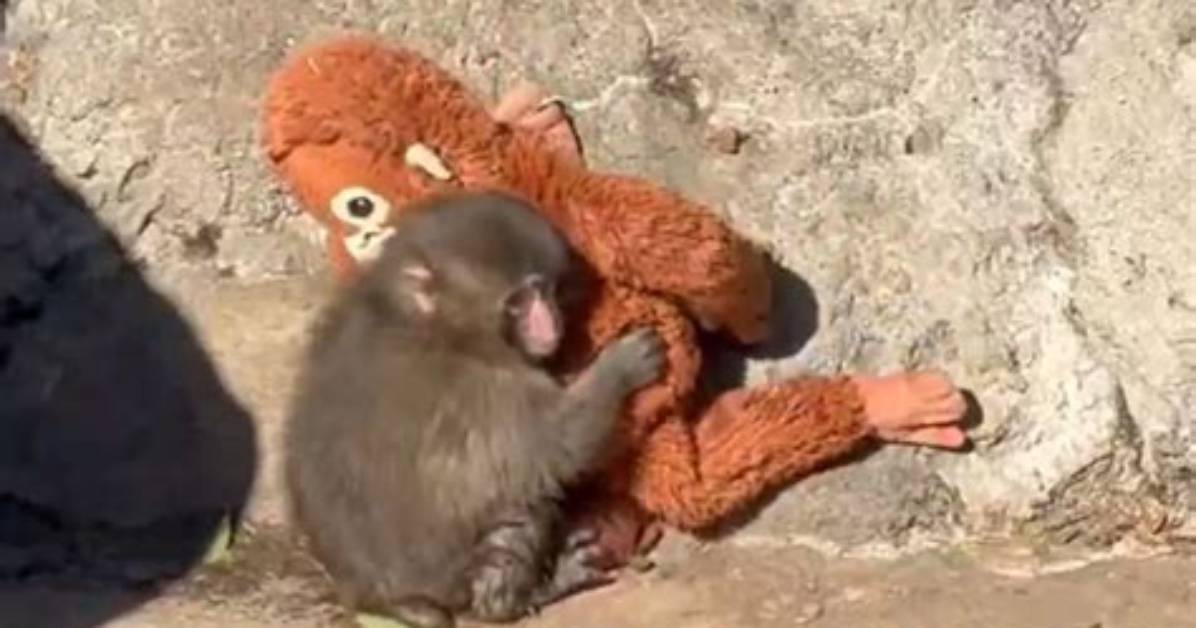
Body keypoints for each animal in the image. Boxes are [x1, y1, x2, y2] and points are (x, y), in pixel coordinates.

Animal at [284, 190, 665, 628]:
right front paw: (621, 366)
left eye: (545, 290)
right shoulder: (487, 388)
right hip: (452, 576)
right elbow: (560, 443)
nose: (550, 325)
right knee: (519, 507)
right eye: (518, 302)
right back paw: (521, 597)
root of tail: (377, 598)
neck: (432, 325)